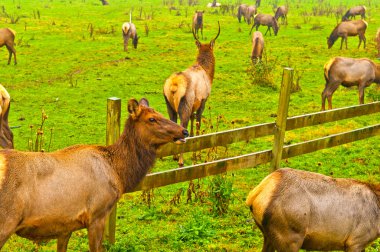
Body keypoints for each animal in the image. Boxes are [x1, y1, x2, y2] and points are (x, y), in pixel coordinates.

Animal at [0, 98, 189, 250]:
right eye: (151, 119)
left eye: (161, 113)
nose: (184, 131)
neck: (119, 174)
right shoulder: (97, 215)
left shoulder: (65, 225)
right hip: (6, 222)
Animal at [163, 22, 220, 166]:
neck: (206, 72)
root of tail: (174, 84)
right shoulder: (203, 100)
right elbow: (198, 125)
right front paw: (197, 155)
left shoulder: (195, 104)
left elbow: (193, 121)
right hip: (185, 104)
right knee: (183, 126)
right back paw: (181, 161)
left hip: (170, 105)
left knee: (174, 124)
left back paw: (175, 156)